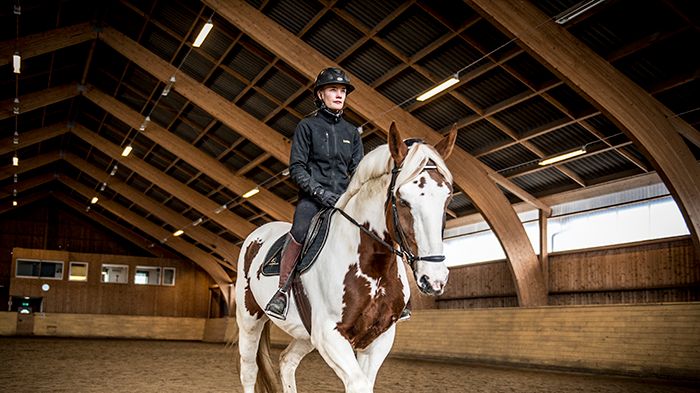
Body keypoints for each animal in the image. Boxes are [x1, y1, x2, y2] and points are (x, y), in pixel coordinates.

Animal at [232, 122, 456, 392]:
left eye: (448, 197)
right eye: (402, 200)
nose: (434, 280)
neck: (373, 269)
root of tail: (258, 233)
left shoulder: (378, 337)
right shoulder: (329, 334)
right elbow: (359, 384)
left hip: (305, 334)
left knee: (287, 361)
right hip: (249, 319)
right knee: (248, 371)